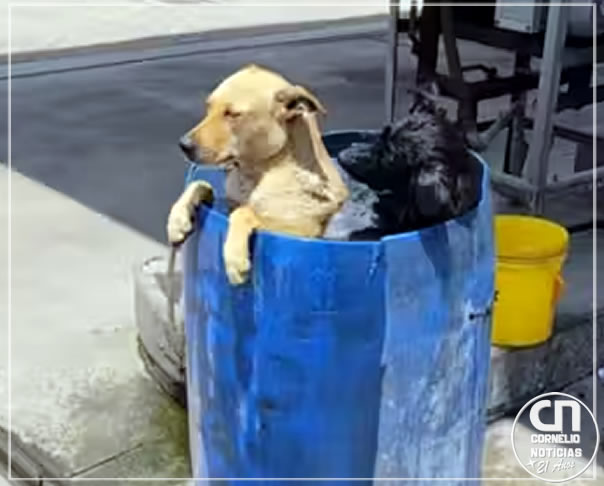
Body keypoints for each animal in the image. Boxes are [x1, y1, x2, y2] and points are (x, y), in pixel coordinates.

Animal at [168, 64, 352, 284]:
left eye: (233, 114)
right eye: (209, 107)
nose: (183, 145)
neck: (255, 174)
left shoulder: (302, 231)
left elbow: (244, 212)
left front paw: (235, 258)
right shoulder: (225, 203)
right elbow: (199, 184)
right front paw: (177, 219)